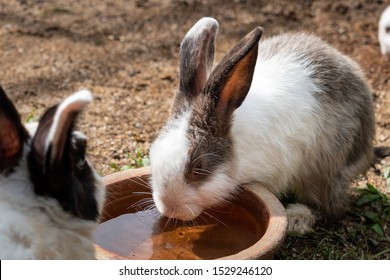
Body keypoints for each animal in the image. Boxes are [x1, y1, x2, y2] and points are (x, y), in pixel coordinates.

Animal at [149, 17, 374, 234]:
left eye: (198, 170)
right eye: (153, 152)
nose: (168, 209)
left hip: (324, 165)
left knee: (331, 208)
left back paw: (296, 218)